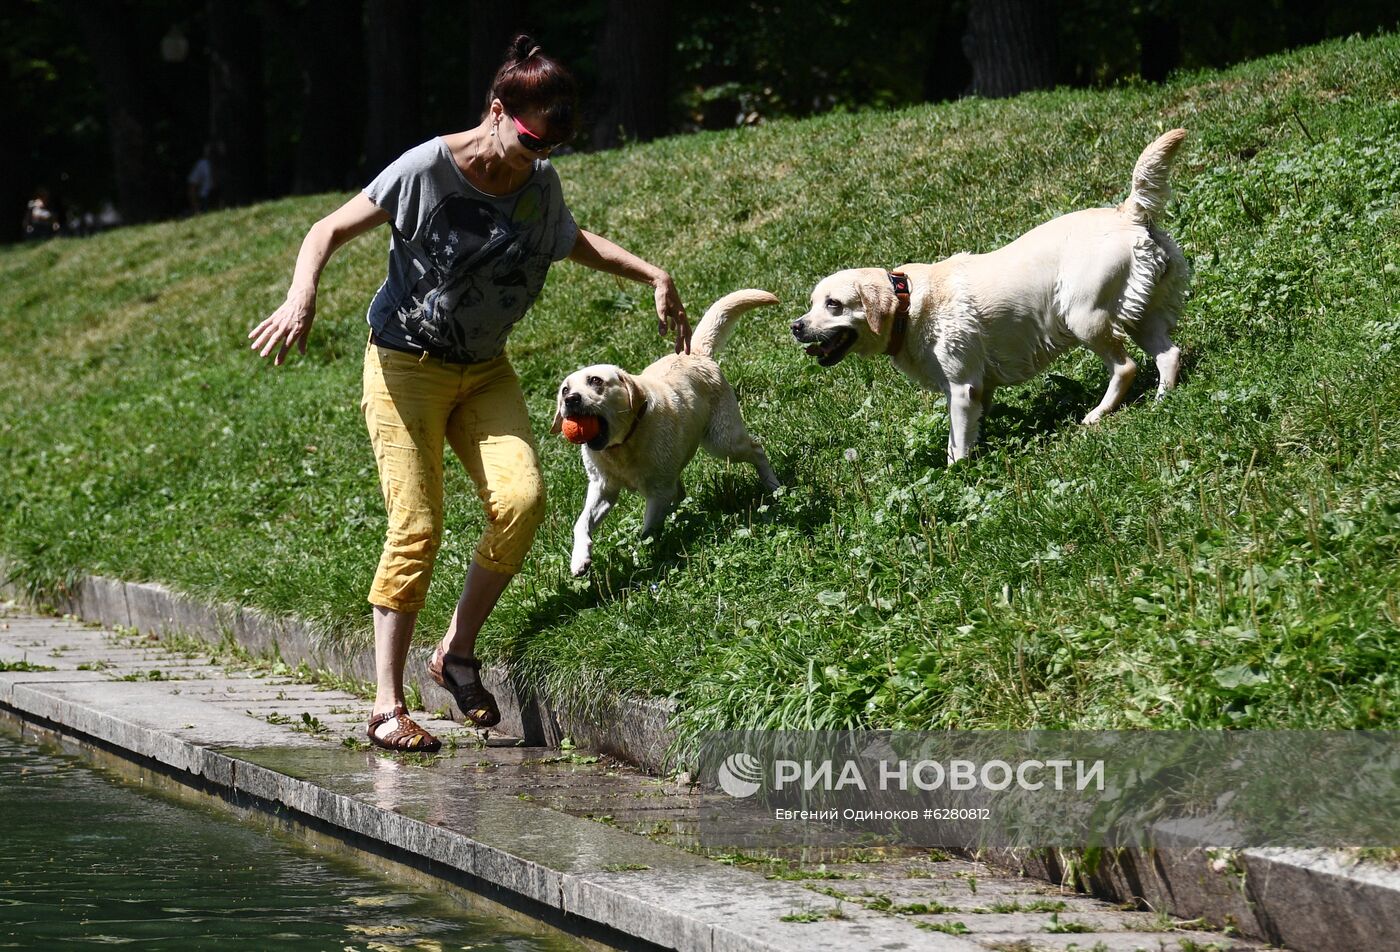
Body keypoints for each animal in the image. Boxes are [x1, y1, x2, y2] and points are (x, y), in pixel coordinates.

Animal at [551, 288, 784, 574]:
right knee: (681, 490)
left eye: (595, 381)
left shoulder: (658, 492)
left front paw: (642, 556)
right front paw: (580, 559)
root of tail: (695, 353)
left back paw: (773, 486)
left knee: (757, 449)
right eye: (564, 389)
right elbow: (581, 523)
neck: (623, 445)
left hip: (724, 441)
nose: (570, 399)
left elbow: (647, 531)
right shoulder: (603, 488)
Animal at [795, 128, 1187, 462]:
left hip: (1085, 318)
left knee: (1125, 367)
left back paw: (1098, 413)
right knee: (1169, 354)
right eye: (811, 304)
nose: (795, 327)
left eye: (833, 305)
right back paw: (1162, 399)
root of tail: (1128, 213)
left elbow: (956, 449)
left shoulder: (961, 389)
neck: (909, 305)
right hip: (1139, 312)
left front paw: (957, 476)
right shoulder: (980, 390)